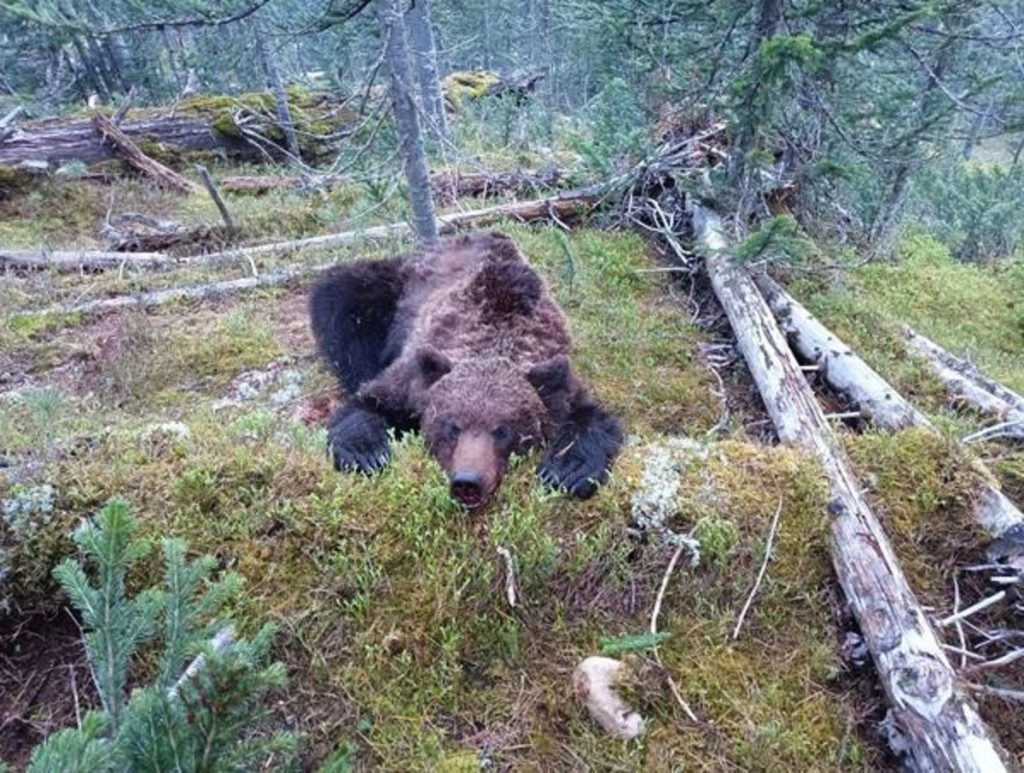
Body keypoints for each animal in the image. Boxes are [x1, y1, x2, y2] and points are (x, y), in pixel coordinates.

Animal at [307, 229, 618, 507]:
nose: (468, 481)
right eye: (452, 426)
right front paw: (366, 453)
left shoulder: (557, 376)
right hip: (392, 289)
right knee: (343, 299)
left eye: (503, 430)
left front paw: (567, 471)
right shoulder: (414, 375)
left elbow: (592, 418)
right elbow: (369, 401)